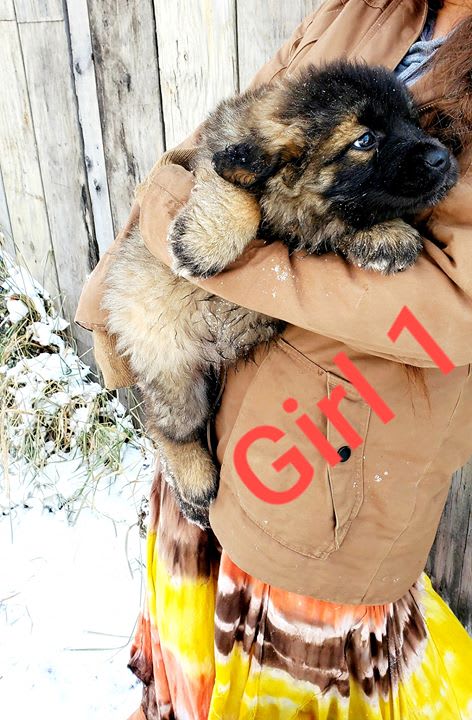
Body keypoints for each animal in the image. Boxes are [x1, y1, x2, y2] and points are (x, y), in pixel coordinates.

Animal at [104, 62, 458, 524]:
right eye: (364, 140)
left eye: (413, 121)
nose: (442, 157)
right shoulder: (213, 158)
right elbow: (235, 193)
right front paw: (202, 244)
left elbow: (338, 221)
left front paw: (384, 234)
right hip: (170, 365)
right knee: (170, 430)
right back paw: (195, 486)